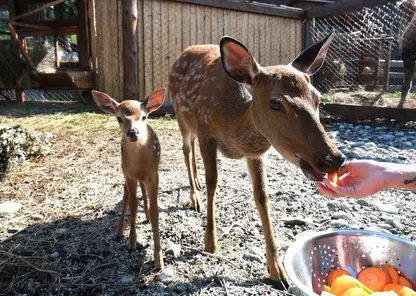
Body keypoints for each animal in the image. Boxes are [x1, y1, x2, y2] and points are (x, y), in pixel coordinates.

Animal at [92, 88, 165, 270]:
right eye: (119, 118)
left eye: (144, 116)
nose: (133, 133)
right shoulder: (129, 174)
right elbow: (133, 205)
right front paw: (132, 243)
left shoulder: (154, 174)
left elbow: (155, 210)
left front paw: (159, 259)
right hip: (124, 171)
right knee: (125, 195)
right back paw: (119, 232)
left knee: (142, 189)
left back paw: (146, 215)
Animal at [168, 33, 344, 290]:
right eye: (275, 103)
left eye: (318, 99)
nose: (334, 158)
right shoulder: (205, 131)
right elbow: (213, 183)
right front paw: (210, 242)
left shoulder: (256, 154)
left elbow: (262, 197)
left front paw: (277, 272)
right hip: (181, 115)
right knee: (185, 149)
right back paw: (194, 197)